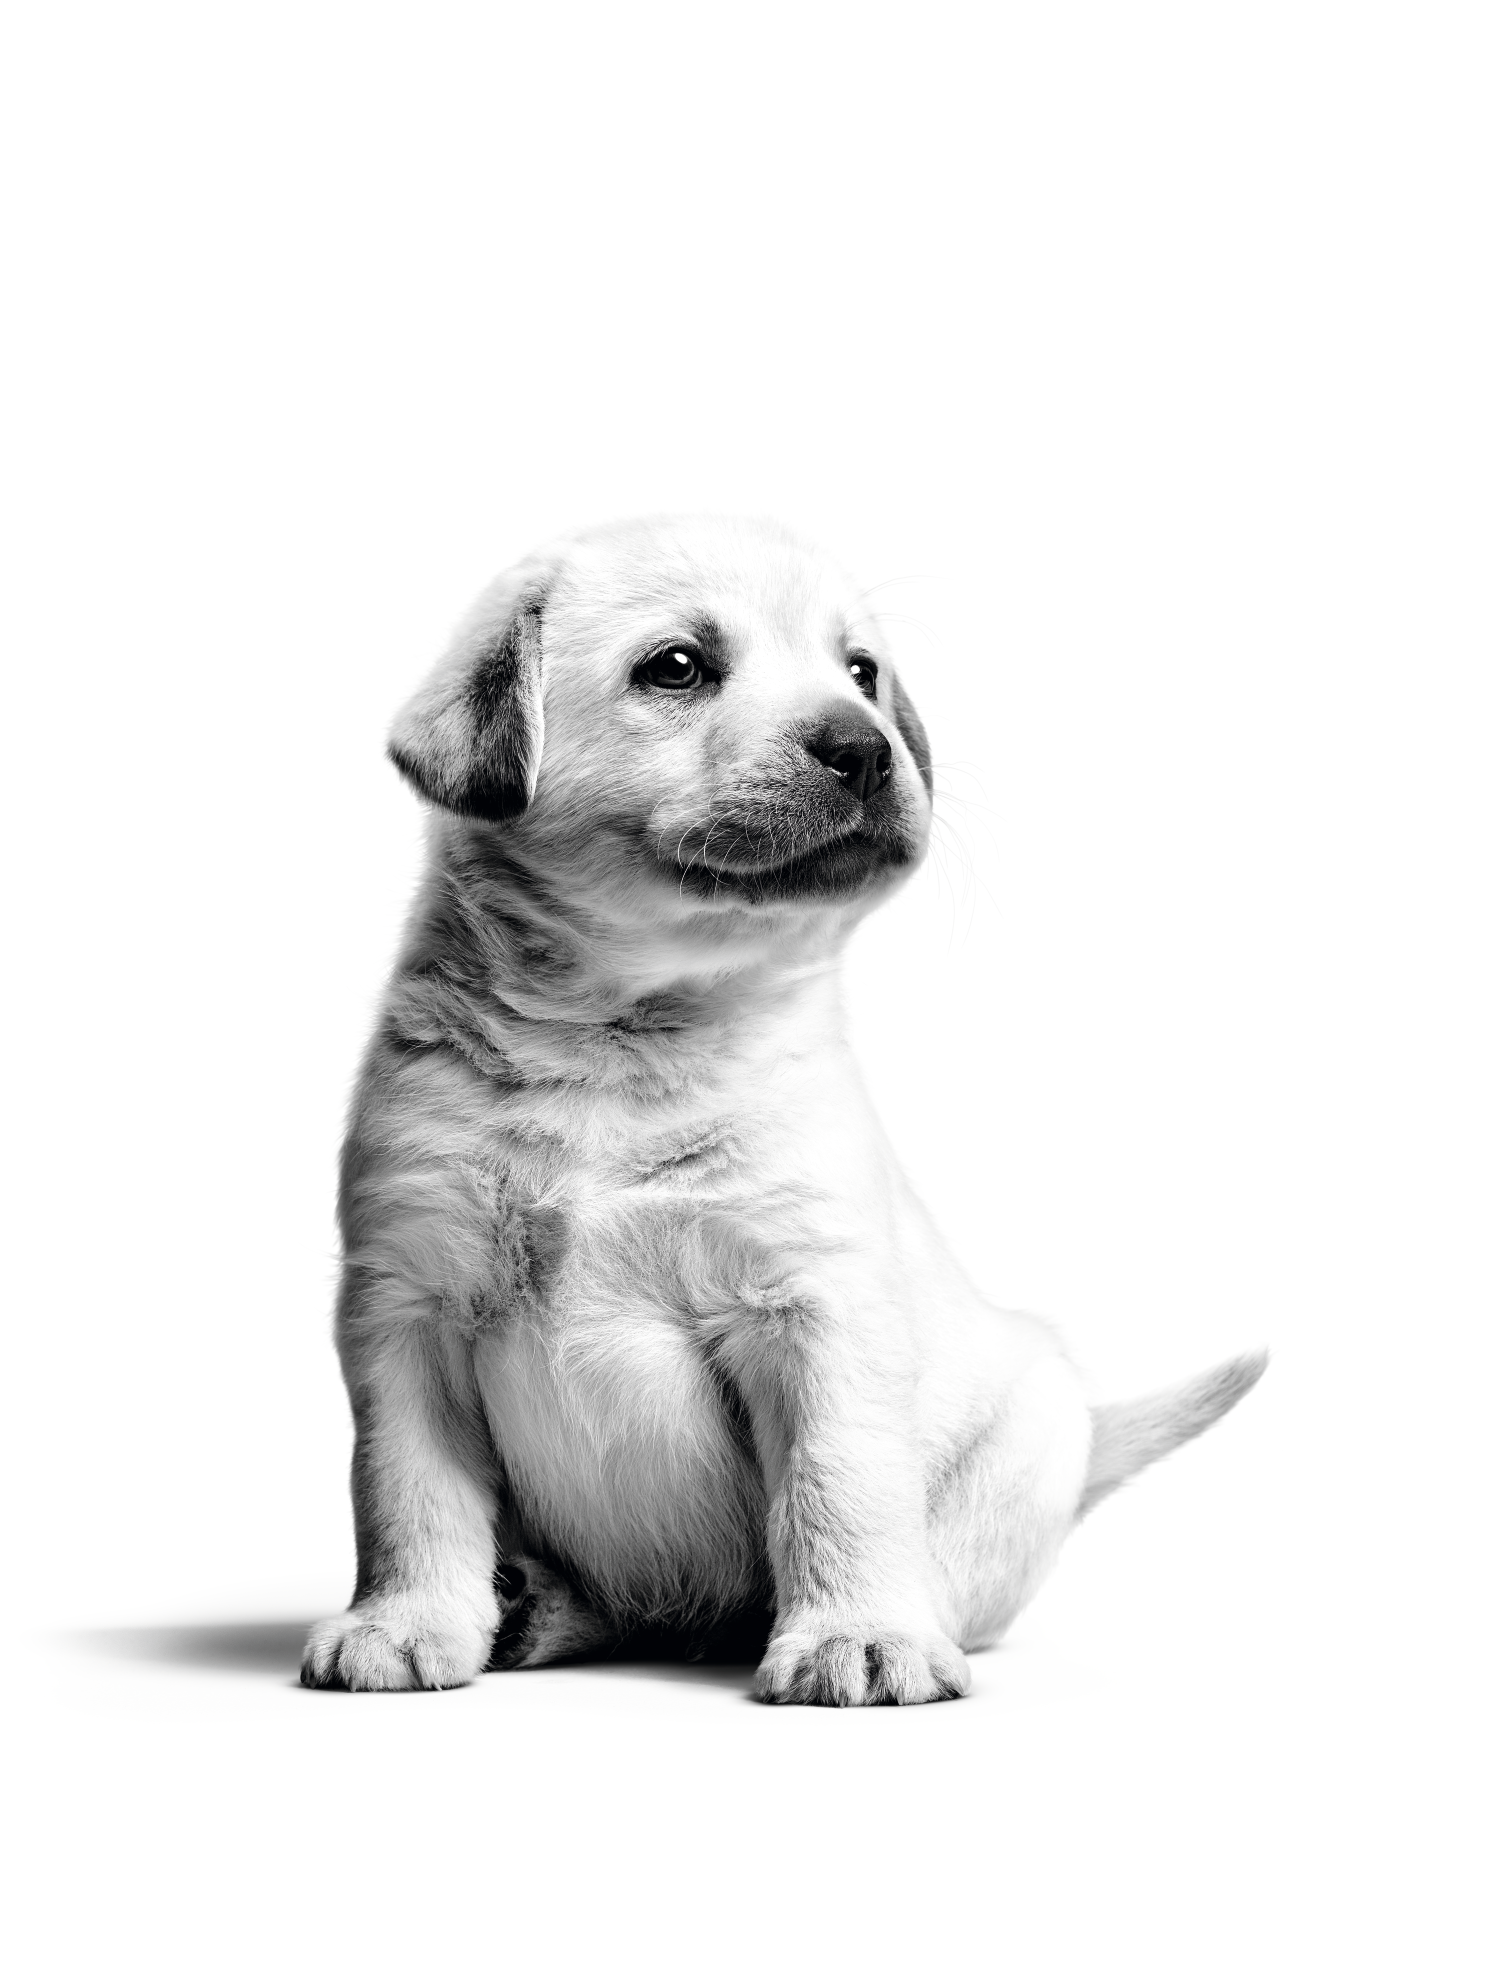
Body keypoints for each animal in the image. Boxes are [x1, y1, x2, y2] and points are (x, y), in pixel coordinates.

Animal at [302, 510, 1267, 1702]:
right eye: (676, 667)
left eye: (861, 672)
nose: (866, 747)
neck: (623, 1033)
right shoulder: (406, 1305)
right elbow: (408, 1492)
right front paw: (404, 1622)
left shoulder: (816, 1309)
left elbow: (835, 1485)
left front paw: (860, 1637)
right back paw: (527, 1606)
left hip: (1027, 1437)